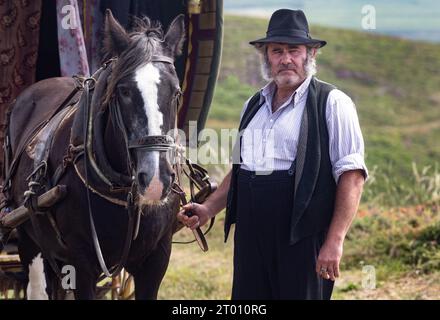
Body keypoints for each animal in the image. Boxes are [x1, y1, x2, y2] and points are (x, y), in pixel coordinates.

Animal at [3, 10, 186, 300]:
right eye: (124, 91)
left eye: (176, 91)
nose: (155, 181)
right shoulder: (81, 262)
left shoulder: (157, 259)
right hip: (28, 236)